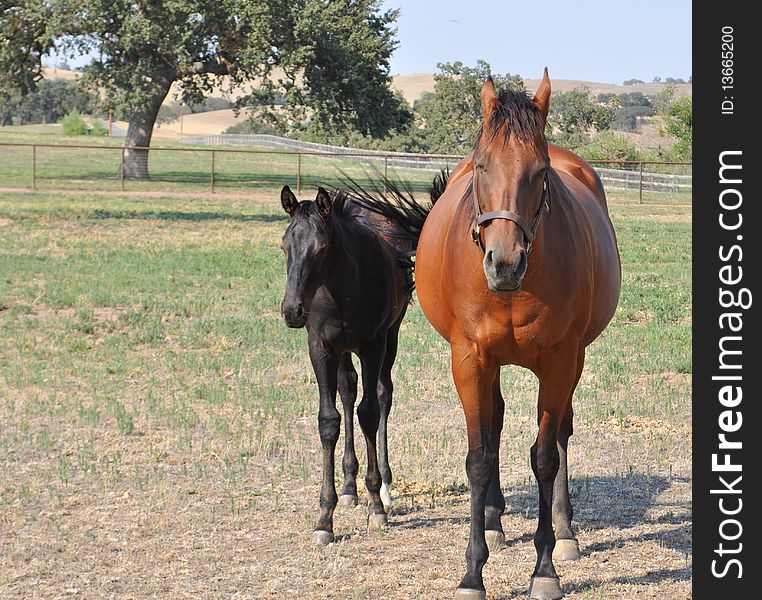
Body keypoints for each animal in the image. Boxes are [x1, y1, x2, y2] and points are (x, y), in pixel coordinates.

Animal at [412, 71, 620, 600]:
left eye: (540, 171)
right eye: (482, 166)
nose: (504, 264)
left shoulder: (560, 362)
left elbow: (545, 456)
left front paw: (544, 569)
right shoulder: (469, 360)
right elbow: (479, 457)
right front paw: (472, 572)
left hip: (573, 361)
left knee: (561, 433)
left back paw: (564, 531)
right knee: (495, 425)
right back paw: (491, 521)